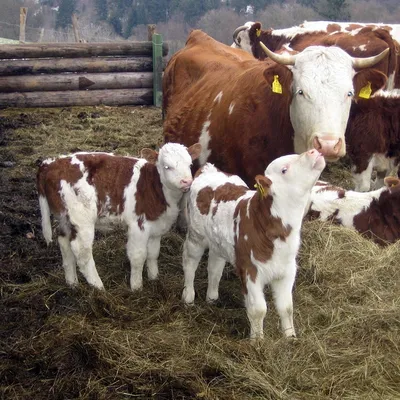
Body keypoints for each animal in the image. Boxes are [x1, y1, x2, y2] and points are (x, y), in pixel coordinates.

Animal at [36, 144, 202, 290]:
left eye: (190, 164)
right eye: (167, 166)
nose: (187, 181)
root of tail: (51, 163)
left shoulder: (156, 224)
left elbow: (153, 253)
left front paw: (154, 278)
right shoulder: (138, 225)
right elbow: (138, 256)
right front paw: (136, 287)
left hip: (65, 218)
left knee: (64, 244)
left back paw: (72, 283)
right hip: (81, 220)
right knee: (82, 253)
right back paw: (99, 287)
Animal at [181, 149, 324, 338]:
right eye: (284, 169)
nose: (313, 150)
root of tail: (209, 169)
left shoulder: (287, 270)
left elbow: (286, 308)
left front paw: (290, 337)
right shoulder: (250, 270)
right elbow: (258, 310)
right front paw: (258, 340)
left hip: (218, 242)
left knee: (215, 266)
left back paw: (212, 297)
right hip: (196, 235)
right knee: (190, 261)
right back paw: (188, 297)